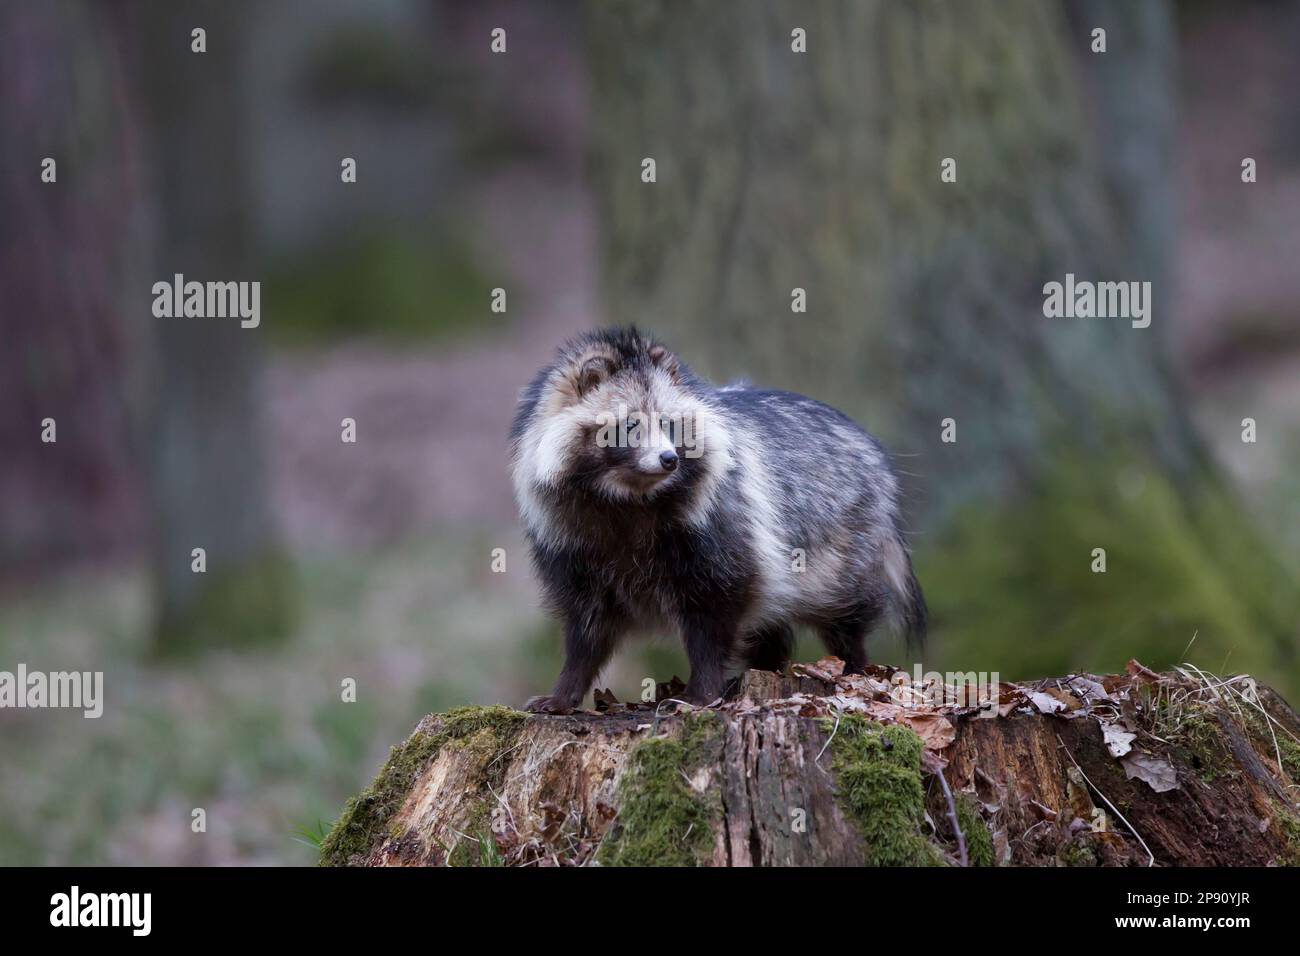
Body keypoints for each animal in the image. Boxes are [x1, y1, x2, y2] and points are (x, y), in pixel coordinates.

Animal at [506, 329, 925, 712]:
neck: (628, 498)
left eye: (671, 425)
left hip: (846, 540)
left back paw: (853, 664)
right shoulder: (571, 541)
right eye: (628, 425)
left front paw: (702, 689)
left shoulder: (720, 525)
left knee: (845, 614)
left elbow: (715, 611)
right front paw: (566, 689)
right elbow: (586, 627)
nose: (669, 460)